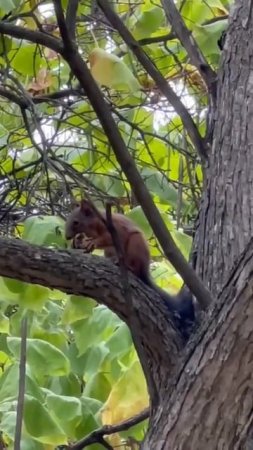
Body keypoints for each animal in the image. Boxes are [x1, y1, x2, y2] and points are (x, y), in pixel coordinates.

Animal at [65, 200, 196, 334]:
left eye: (76, 222)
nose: (67, 237)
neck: (94, 226)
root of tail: (144, 270)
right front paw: (78, 242)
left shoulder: (114, 229)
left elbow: (106, 238)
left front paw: (92, 242)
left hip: (135, 244)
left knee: (134, 267)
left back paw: (125, 265)